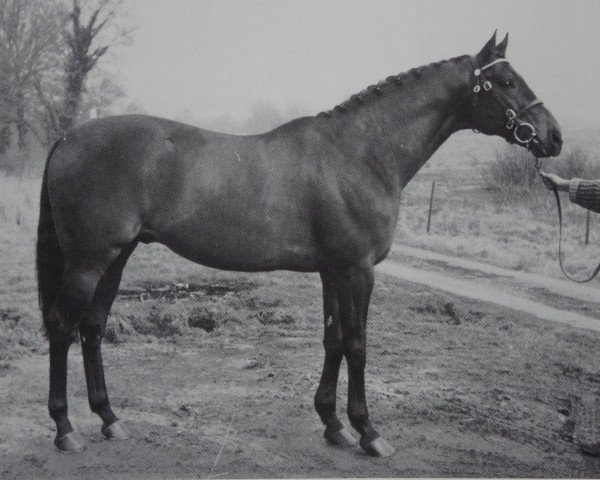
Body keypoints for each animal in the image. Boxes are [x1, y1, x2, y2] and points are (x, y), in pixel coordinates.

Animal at [37, 31, 564, 460]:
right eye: (508, 81)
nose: (554, 137)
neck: (360, 153)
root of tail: (67, 137)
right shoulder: (358, 270)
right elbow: (358, 344)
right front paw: (369, 432)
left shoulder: (333, 270)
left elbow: (333, 340)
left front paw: (333, 425)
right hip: (89, 261)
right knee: (63, 327)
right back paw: (65, 429)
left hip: (115, 258)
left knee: (92, 328)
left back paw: (110, 419)